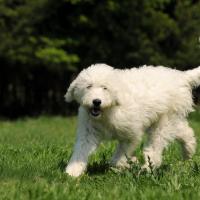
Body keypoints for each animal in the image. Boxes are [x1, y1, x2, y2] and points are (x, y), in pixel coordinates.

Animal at [65, 63, 199, 177]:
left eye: (105, 88)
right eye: (88, 86)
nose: (96, 101)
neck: (109, 109)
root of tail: (181, 76)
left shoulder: (131, 134)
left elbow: (119, 157)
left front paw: (128, 164)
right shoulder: (88, 133)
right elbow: (81, 151)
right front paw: (72, 172)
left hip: (164, 122)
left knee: (155, 146)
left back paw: (146, 168)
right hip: (171, 120)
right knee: (185, 131)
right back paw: (189, 152)